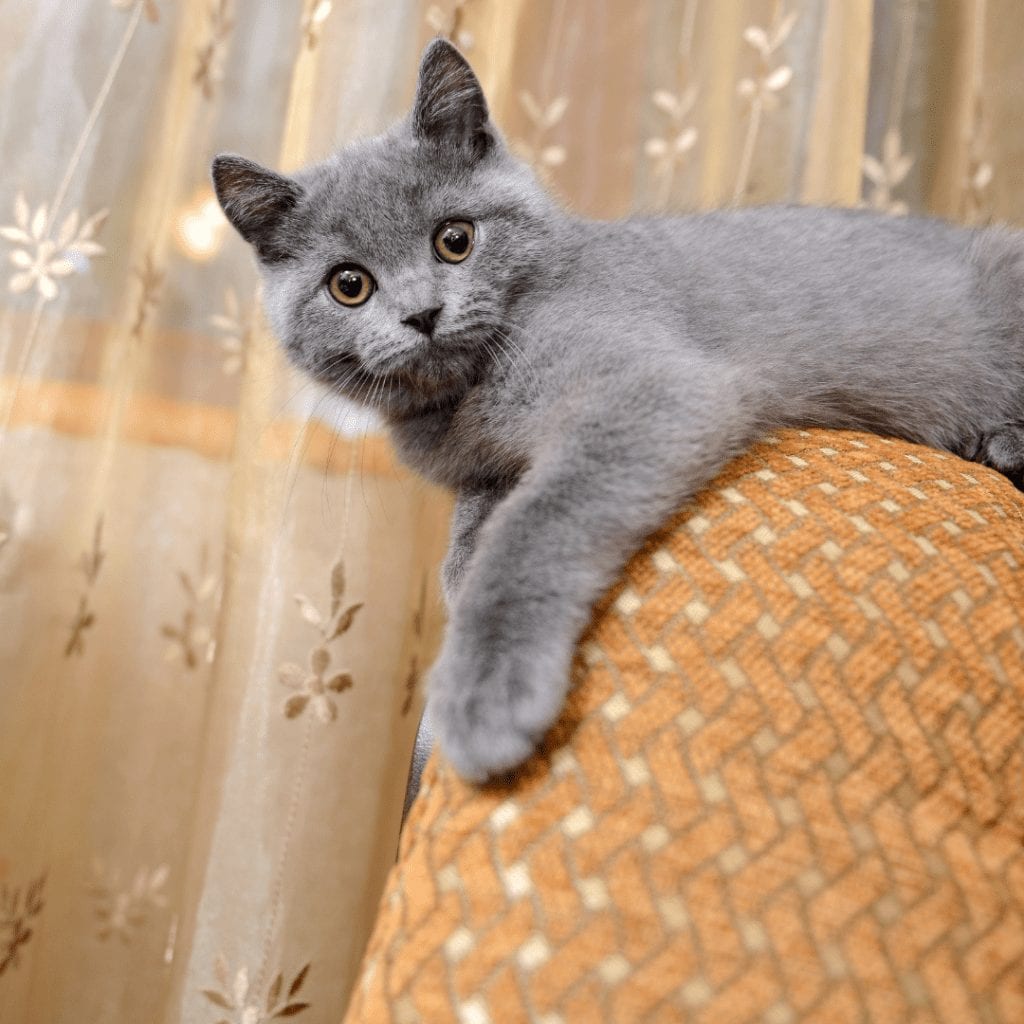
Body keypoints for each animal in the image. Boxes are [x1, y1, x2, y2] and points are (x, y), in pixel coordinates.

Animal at [214, 37, 1024, 774]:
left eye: (455, 240)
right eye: (348, 285)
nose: (421, 314)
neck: (468, 394)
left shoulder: (653, 385)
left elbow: (540, 517)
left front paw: (484, 692)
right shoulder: (483, 464)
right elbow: (484, 510)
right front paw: (462, 562)